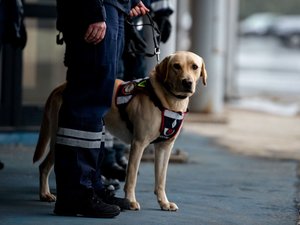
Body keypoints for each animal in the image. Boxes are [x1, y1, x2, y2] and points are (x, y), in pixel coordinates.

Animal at [32, 50, 206, 211]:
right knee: (44, 166)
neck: (167, 100)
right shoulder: (138, 144)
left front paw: (164, 202)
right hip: (62, 135)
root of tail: (60, 87)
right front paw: (130, 201)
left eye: (194, 67)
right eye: (176, 66)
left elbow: (161, 179)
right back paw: (46, 194)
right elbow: (131, 177)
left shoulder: (165, 147)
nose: (187, 82)